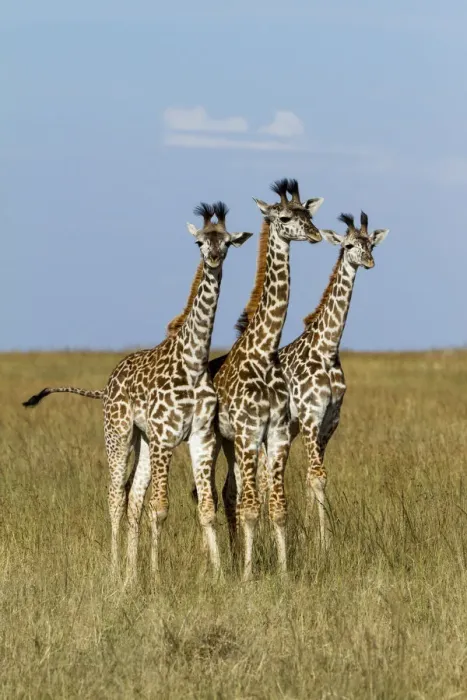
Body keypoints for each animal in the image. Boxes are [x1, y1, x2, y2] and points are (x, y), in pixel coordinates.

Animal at [23, 202, 253, 583]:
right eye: (200, 242)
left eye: (227, 242)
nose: (214, 257)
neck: (193, 361)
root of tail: (108, 383)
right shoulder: (164, 436)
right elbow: (158, 509)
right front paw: (157, 578)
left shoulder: (200, 436)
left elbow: (206, 508)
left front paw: (219, 575)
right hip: (119, 434)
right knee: (116, 498)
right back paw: (117, 570)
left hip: (143, 441)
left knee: (132, 500)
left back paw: (131, 573)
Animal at [210, 178, 324, 581]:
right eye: (286, 217)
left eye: (309, 214)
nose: (316, 234)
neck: (264, 351)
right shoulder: (248, 432)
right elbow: (251, 506)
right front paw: (247, 577)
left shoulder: (275, 433)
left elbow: (277, 506)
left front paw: (284, 573)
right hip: (218, 440)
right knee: (214, 494)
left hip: (232, 444)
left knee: (229, 492)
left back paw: (231, 557)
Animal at [257, 211, 389, 548]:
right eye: (349, 245)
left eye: (371, 244)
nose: (369, 262)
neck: (327, 349)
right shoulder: (310, 416)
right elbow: (317, 476)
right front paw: (325, 542)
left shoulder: (330, 419)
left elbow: (313, 476)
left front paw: (311, 536)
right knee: (262, 475)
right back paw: (264, 533)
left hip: (287, 428)